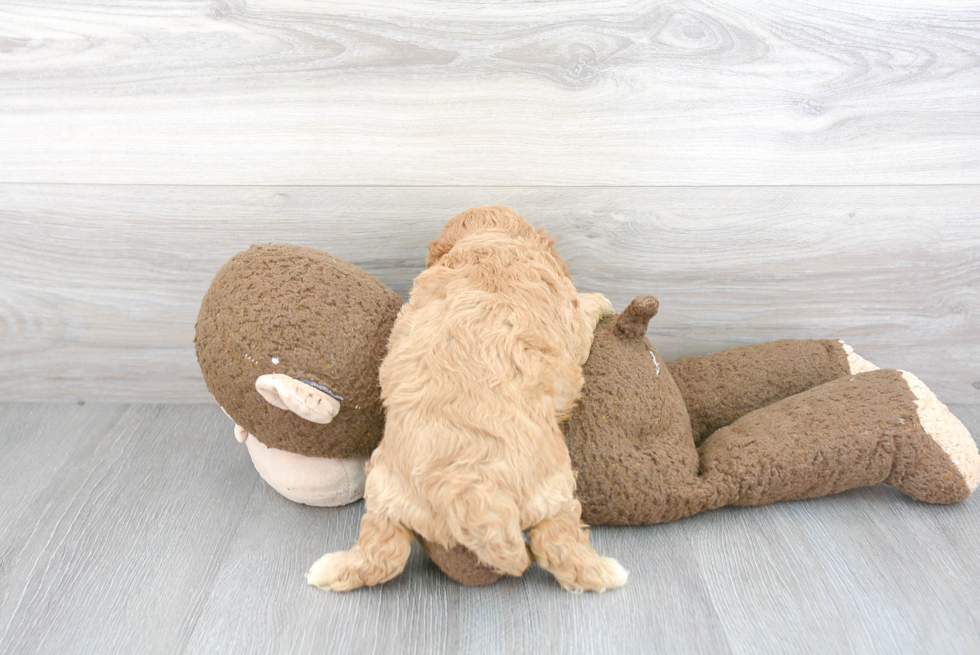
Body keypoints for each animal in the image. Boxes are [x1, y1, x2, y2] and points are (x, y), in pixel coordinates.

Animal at [306, 206, 628, 596]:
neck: (490, 240)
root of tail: (469, 496)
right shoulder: (572, 322)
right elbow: (584, 308)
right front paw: (603, 301)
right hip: (553, 490)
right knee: (559, 546)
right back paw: (606, 572)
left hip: (386, 491)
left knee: (382, 553)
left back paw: (330, 569)